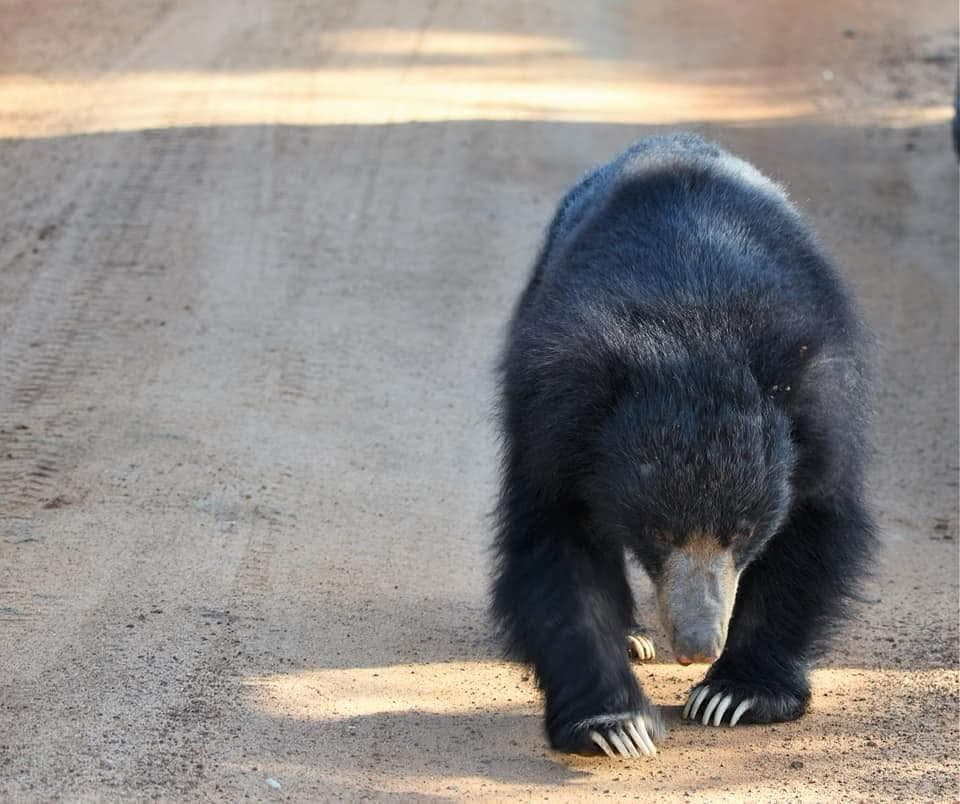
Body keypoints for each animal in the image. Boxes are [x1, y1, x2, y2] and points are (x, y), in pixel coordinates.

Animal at [491, 133, 875, 758]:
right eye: (658, 532)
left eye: (743, 531)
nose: (697, 647)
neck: (694, 325)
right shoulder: (552, 419)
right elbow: (554, 541)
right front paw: (615, 727)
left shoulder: (821, 414)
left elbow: (814, 528)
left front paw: (734, 695)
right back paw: (634, 639)